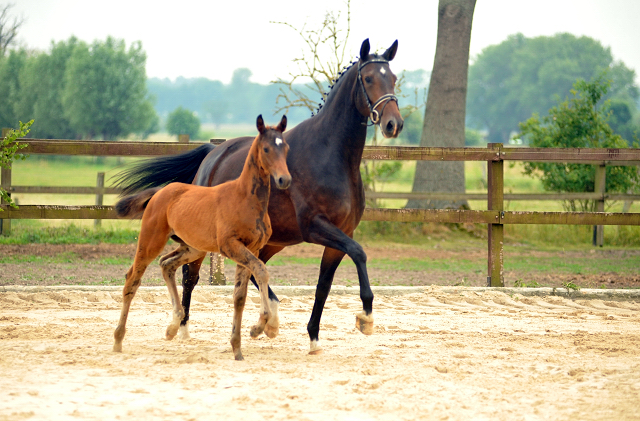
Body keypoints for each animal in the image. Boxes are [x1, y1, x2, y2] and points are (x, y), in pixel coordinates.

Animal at [113, 115, 290, 360]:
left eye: (286, 148)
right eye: (266, 149)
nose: (284, 179)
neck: (245, 198)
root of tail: (160, 192)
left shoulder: (251, 249)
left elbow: (240, 296)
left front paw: (238, 347)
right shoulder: (231, 246)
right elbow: (261, 271)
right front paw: (259, 327)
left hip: (193, 247)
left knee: (167, 264)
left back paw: (173, 326)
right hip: (151, 241)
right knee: (132, 279)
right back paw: (118, 340)